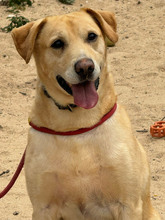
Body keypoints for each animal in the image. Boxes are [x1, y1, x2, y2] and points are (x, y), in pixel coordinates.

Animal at [11, 7, 160, 219]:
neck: (78, 123)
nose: (85, 67)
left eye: (92, 36)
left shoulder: (128, 204)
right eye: (57, 43)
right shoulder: (43, 207)